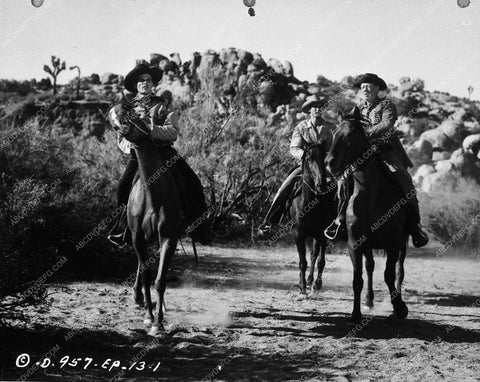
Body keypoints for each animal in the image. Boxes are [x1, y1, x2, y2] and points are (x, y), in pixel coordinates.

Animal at [108, 100, 182, 336]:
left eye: (130, 112)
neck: (153, 196)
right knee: (142, 266)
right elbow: (147, 276)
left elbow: (160, 279)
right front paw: (150, 318)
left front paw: (159, 323)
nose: (118, 124)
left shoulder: (168, 237)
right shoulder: (137, 237)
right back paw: (139, 297)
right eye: (112, 120)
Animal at [288, 142, 338, 294]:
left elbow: (320, 261)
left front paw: (317, 284)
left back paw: (312, 281)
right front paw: (302, 287)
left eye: (324, 159)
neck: (309, 204)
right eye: (309, 159)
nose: (321, 184)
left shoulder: (322, 234)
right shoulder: (298, 234)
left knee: (314, 255)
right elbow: (302, 262)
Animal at [324, 107, 406, 322]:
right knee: (370, 267)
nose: (329, 163)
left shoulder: (393, 243)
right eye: (334, 133)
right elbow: (357, 279)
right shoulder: (356, 244)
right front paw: (355, 314)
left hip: (403, 242)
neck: (370, 197)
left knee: (399, 270)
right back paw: (369, 300)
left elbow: (388, 275)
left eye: (350, 135)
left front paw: (399, 308)